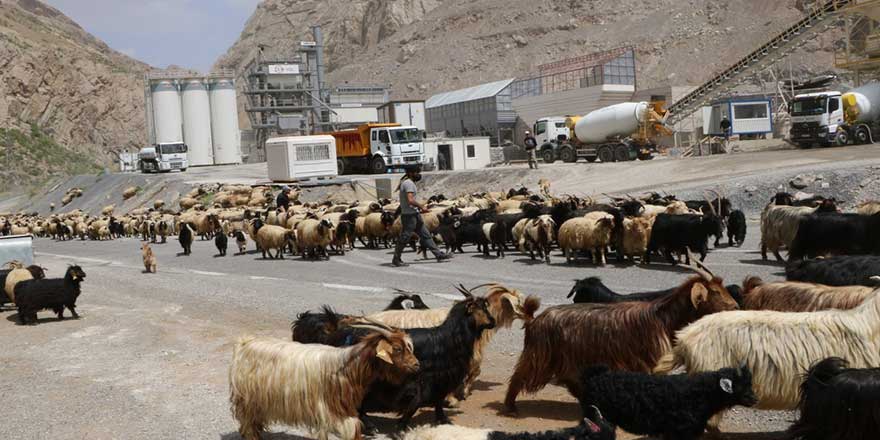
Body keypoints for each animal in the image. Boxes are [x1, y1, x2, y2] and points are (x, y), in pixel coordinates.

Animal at [229, 324, 418, 440]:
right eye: (397, 349)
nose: (417, 364)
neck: (348, 367)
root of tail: (245, 343)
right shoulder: (329, 410)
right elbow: (350, 429)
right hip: (248, 399)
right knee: (248, 424)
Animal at [502, 256, 736, 414]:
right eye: (715, 292)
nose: (735, 305)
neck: (663, 318)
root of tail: (535, 320)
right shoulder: (645, 360)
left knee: (569, 380)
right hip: (540, 354)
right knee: (520, 374)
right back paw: (510, 406)